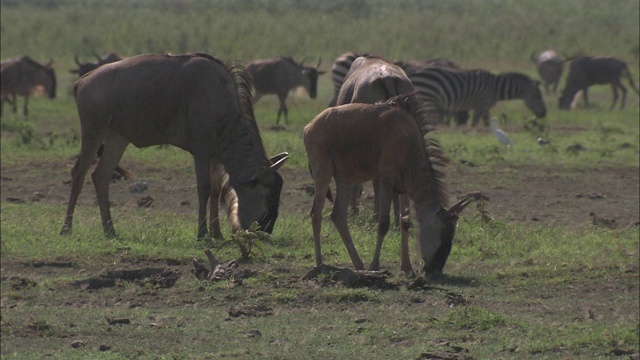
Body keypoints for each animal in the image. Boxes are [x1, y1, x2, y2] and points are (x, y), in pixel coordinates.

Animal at [410, 67, 544, 126]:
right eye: (538, 97)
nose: (544, 114)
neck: (494, 87)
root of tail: (412, 73)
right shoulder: (480, 104)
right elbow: (475, 122)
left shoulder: (485, 106)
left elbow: (486, 122)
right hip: (426, 97)